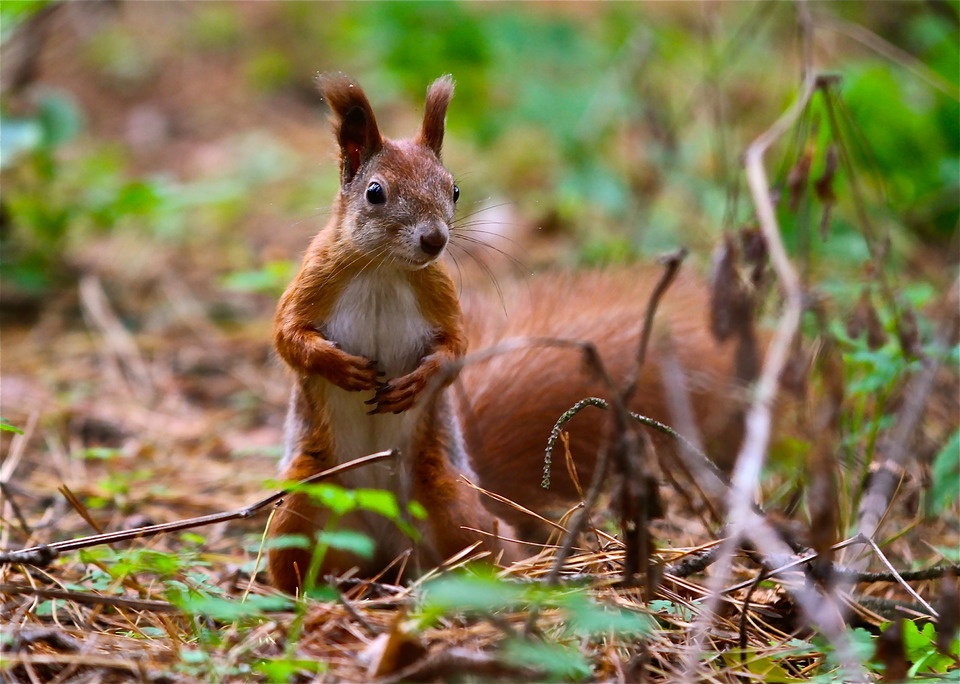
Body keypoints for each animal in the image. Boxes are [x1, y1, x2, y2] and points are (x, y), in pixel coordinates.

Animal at [268, 72, 752, 592]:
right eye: (374, 192)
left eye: (454, 189)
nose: (434, 239)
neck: (385, 269)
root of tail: (386, 553)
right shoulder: (315, 280)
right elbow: (287, 336)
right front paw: (340, 366)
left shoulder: (439, 294)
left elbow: (456, 350)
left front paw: (421, 380)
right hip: (302, 506)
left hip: (452, 505)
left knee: (491, 545)